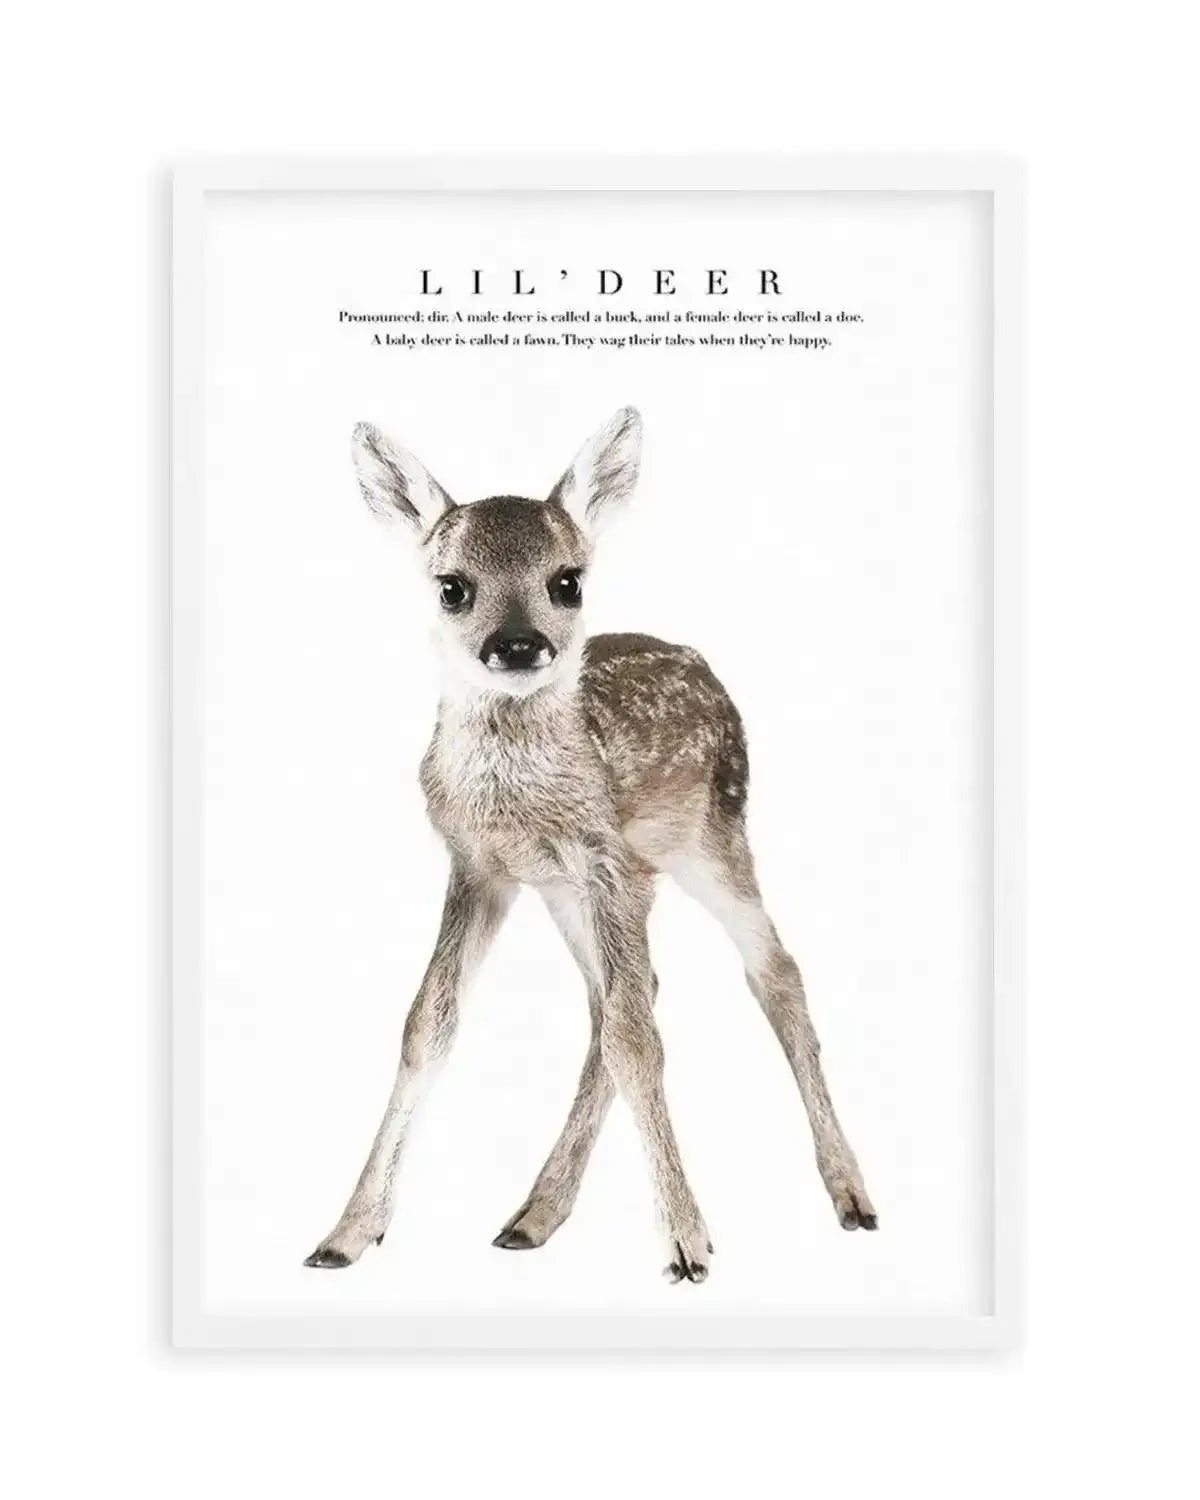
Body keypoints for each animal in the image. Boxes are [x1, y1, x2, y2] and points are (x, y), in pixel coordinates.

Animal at [304, 408, 875, 1284]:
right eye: (452, 586)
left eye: (567, 581)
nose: (517, 645)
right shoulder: (481, 866)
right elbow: (428, 1024)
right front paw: (347, 1232)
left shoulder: (611, 862)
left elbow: (639, 1042)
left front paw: (687, 1244)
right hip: (577, 891)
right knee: (620, 1001)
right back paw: (534, 1215)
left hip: (712, 837)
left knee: (771, 972)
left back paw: (851, 1195)